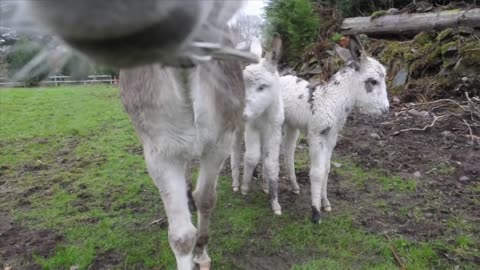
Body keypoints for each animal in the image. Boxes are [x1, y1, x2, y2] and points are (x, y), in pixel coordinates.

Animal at [230, 34, 284, 215]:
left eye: (262, 87)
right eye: (244, 85)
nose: (242, 114)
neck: (264, 115)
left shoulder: (274, 131)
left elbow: (272, 162)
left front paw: (274, 202)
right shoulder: (251, 128)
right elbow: (251, 157)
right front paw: (245, 188)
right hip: (238, 130)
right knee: (235, 151)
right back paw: (236, 183)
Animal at [282, 37, 390, 224]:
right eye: (373, 81)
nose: (386, 109)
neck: (330, 101)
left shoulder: (331, 137)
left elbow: (326, 169)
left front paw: (325, 203)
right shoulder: (316, 135)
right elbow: (317, 172)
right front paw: (315, 212)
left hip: (291, 125)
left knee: (288, 152)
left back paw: (294, 186)